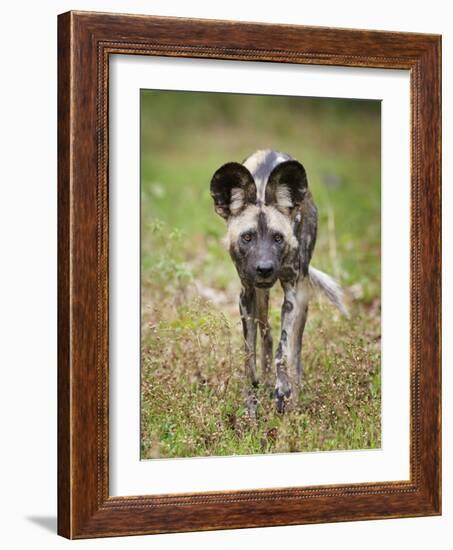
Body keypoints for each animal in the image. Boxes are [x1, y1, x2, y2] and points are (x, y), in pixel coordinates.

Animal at [209, 149, 346, 416]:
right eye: (247, 237)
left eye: (277, 238)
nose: (264, 269)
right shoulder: (246, 295)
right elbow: (249, 355)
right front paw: (251, 400)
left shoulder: (292, 291)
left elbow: (284, 349)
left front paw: (282, 389)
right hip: (260, 298)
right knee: (267, 335)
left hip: (301, 296)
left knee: (295, 349)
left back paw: (295, 395)